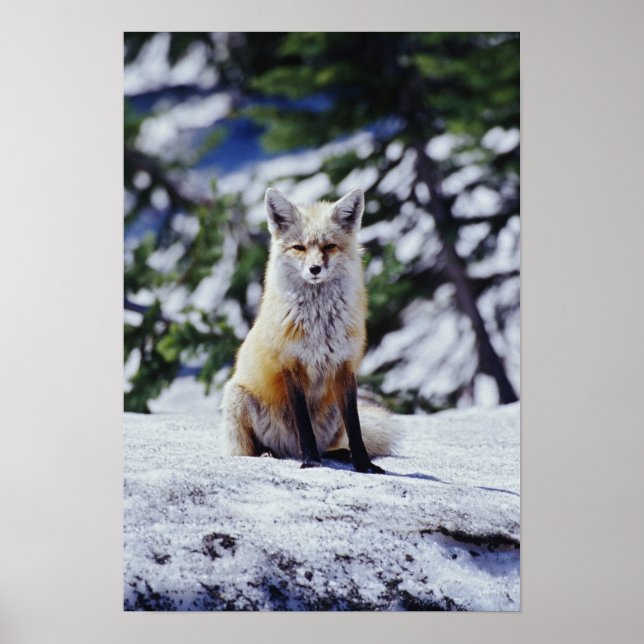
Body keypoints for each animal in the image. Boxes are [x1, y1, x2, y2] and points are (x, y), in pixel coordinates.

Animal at [221, 187, 392, 473]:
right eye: (299, 247)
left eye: (329, 246)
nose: (314, 269)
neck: (319, 324)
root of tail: (289, 449)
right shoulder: (291, 365)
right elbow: (304, 425)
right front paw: (311, 462)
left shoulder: (344, 366)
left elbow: (355, 428)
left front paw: (363, 464)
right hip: (237, 397)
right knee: (251, 449)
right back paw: (269, 452)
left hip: (332, 412)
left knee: (332, 444)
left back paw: (339, 454)